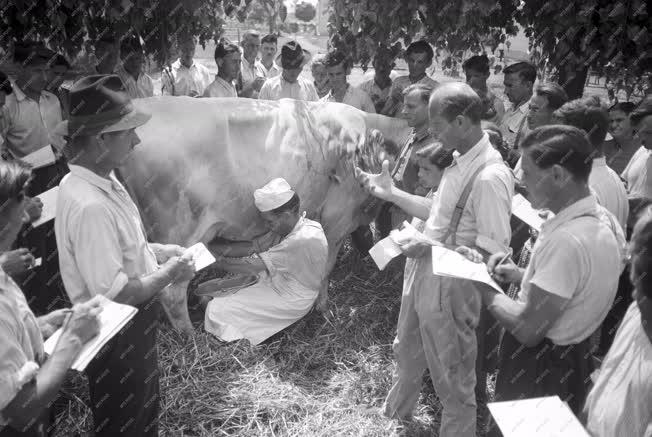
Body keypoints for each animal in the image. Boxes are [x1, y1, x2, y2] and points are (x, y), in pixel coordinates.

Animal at [119, 97, 410, 332]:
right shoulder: (338, 218)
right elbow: (326, 268)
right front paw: (323, 308)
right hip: (180, 233)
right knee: (171, 292)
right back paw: (190, 338)